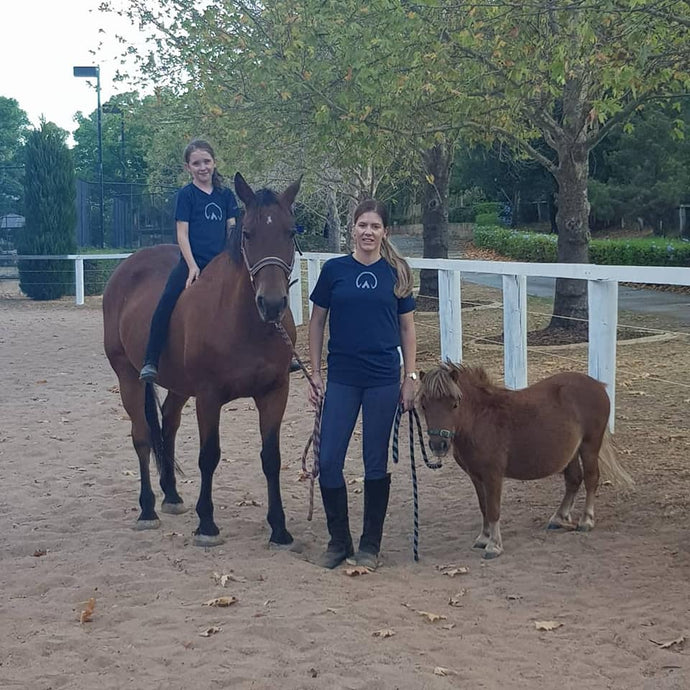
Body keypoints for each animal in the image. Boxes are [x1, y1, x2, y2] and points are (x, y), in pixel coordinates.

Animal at [102, 175, 298, 544]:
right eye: (248, 233)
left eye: (291, 232)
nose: (272, 304)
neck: (243, 322)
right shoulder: (209, 397)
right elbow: (209, 456)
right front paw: (206, 524)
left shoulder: (275, 392)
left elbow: (272, 458)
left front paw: (279, 528)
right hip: (128, 376)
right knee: (141, 437)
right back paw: (148, 510)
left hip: (179, 385)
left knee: (168, 423)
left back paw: (172, 495)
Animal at [416, 362, 632, 556]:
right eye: (424, 405)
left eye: (455, 404)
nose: (439, 445)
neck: (480, 420)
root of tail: (598, 385)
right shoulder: (475, 476)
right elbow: (483, 507)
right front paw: (483, 538)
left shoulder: (493, 475)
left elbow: (493, 509)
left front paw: (494, 545)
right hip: (570, 452)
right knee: (573, 480)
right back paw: (558, 518)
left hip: (589, 446)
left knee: (591, 479)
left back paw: (586, 521)